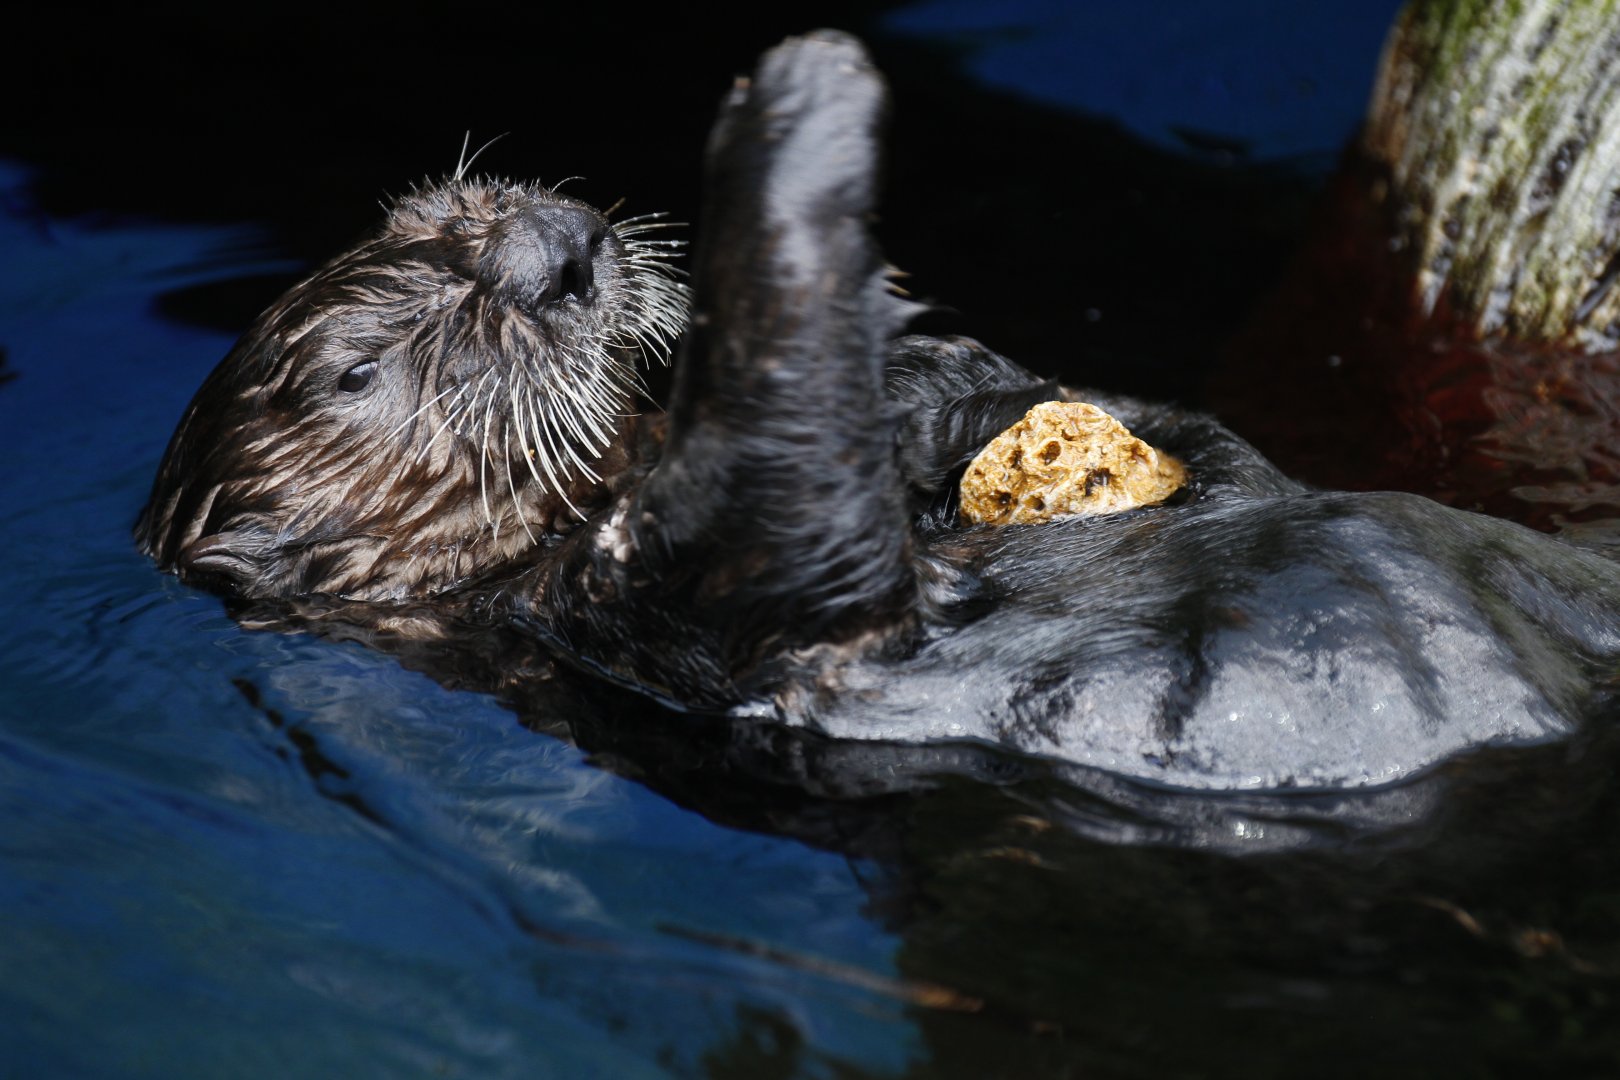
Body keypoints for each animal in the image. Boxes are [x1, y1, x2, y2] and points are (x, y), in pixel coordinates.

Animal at [138, 32, 1620, 791]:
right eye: (355, 374)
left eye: (459, 200)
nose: (552, 250)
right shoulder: (649, 617)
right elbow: (766, 499)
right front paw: (798, 106)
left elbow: (949, 375)